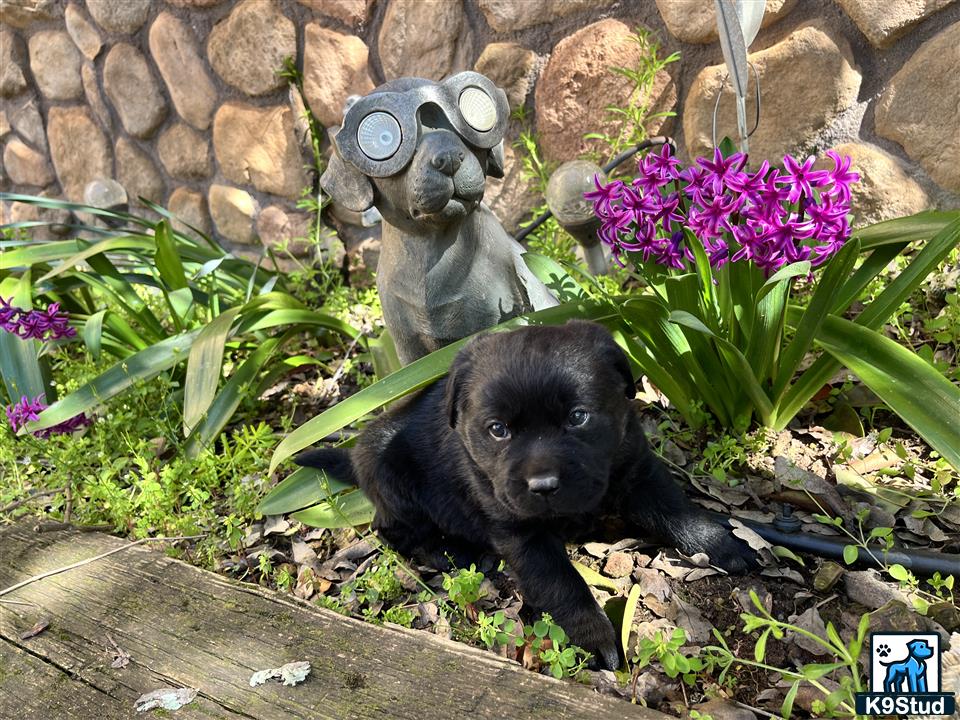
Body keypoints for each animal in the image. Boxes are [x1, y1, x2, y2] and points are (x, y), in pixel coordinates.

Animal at [296, 320, 752, 668]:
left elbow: (679, 511)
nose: (543, 486)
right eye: (498, 429)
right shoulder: (520, 530)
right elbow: (561, 582)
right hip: (390, 476)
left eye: (578, 417)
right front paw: (595, 637)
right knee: (393, 532)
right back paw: (453, 553)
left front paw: (724, 543)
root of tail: (356, 455)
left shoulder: (639, 470)